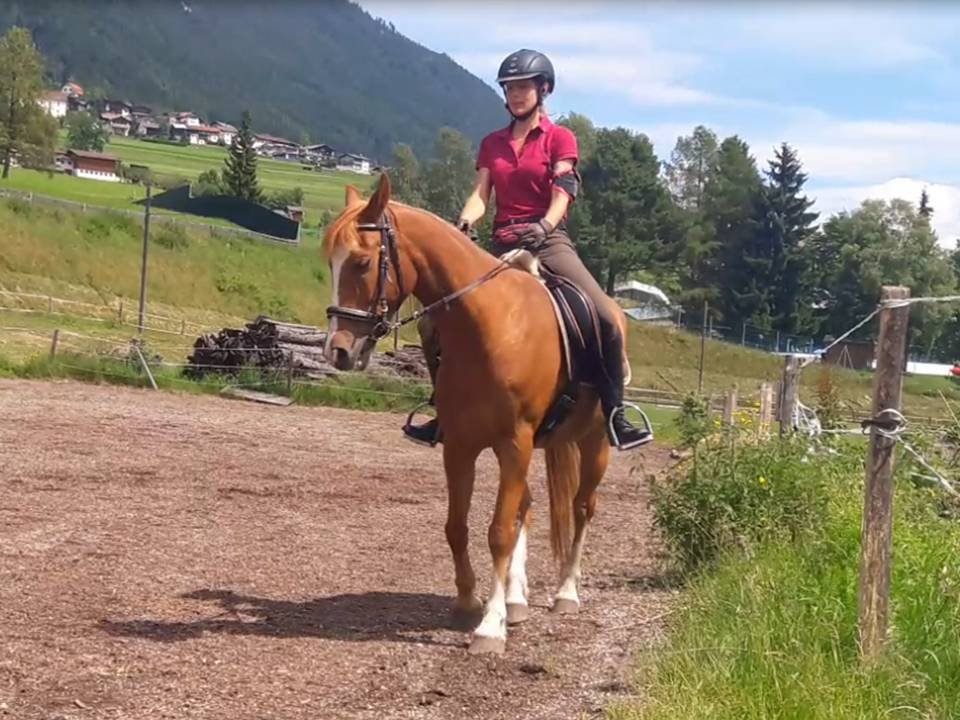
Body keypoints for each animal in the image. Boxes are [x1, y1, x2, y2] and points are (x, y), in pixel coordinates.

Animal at [322, 172, 638, 655]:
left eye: (360, 262)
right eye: (330, 264)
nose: (338, 352)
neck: (490, 324)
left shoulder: (514, 442)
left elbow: (499, 532)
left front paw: (490, 627)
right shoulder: (460, 445)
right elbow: (457, 526)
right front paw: (471, 602)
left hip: (594, 441)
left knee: (583, 507)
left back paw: (565, 593)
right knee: (528, 505)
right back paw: (517, 600)